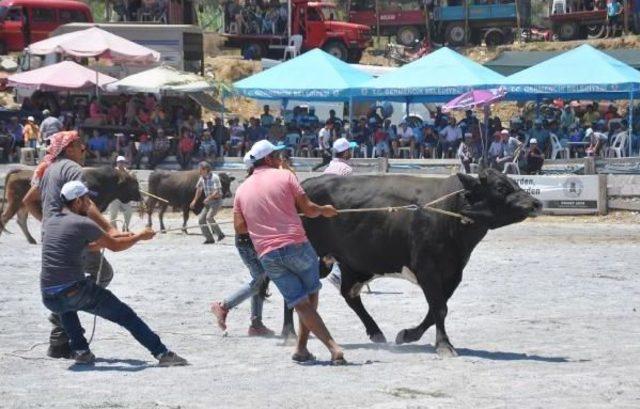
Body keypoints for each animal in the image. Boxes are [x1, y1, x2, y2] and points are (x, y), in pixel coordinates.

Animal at [280, 169, 540, 354]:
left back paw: (376, 332)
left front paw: (408, 335)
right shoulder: (428, 269)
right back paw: (289, 332)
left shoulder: (453, 273)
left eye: (515, 182)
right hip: (312, 256)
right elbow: (439, 308)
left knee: (349, 294)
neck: (449, 211)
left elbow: (436, 309)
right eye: (500, 186)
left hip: (351, 263)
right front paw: (444, 345)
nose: (536, 203)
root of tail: (304, 185)